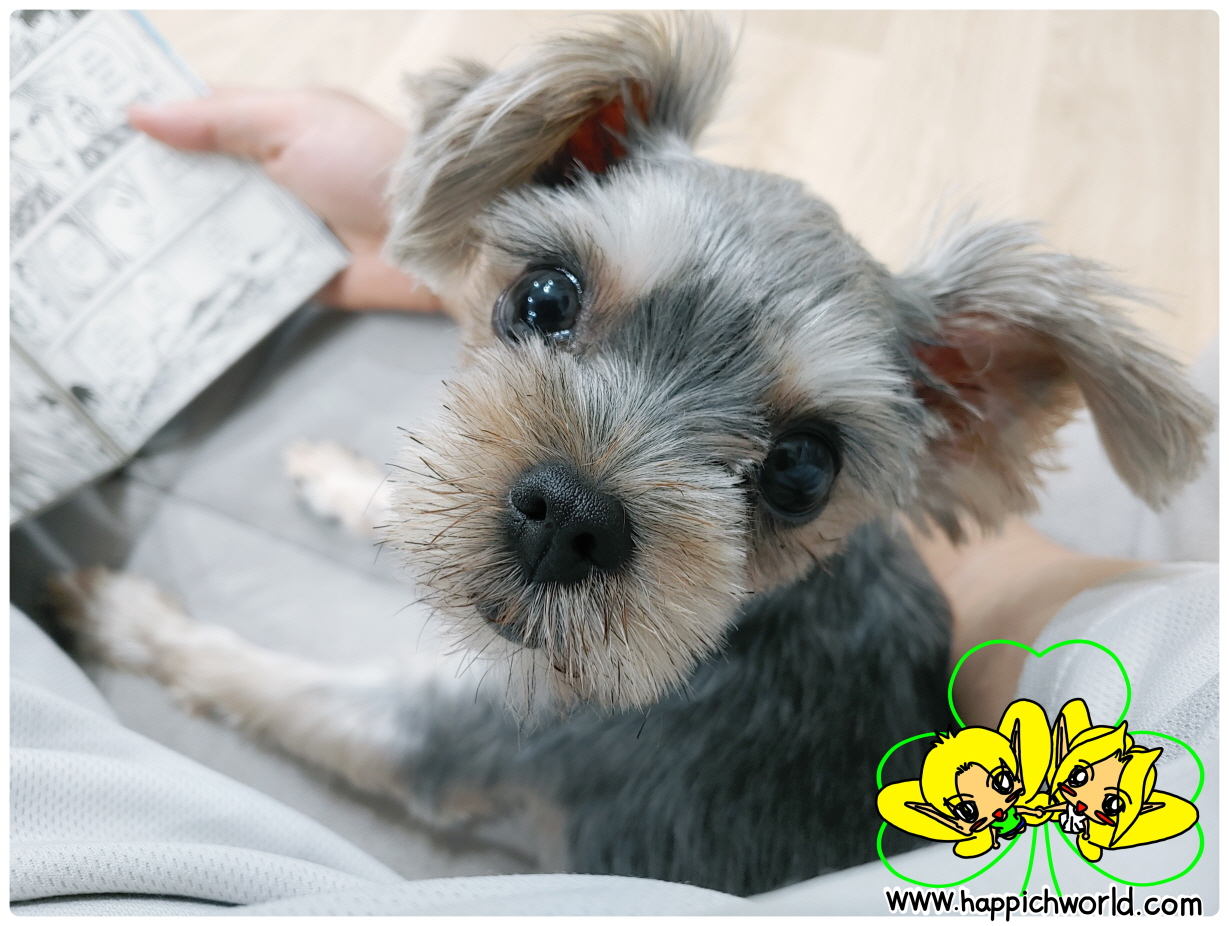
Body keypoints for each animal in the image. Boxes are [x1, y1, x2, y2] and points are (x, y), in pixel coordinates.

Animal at [52, 14, 1213, 896]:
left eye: (802, 470)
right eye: (543, 296)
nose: (570, 516)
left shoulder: (470, 737)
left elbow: (272, 683)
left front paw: (127, 616)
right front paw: (344, 479)